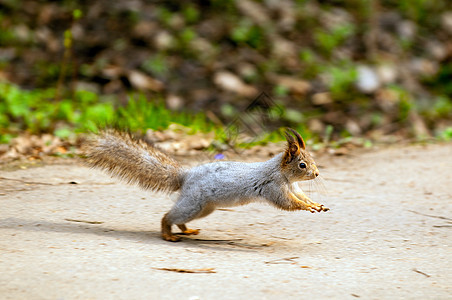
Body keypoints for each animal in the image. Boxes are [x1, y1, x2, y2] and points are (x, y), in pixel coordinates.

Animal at [84, 127, 328, 240]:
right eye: (303, 165)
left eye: (313, 160)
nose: (316, 174)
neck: (282, 173)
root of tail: (186, 175)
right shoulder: (273, 187)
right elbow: (289, 203)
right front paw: (307, 207)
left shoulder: (293, 187)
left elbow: (302, 197)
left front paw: (316, 204)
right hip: (193, 203)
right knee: (168, 216)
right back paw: (168, 233)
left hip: (204, 209)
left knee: (181, 219)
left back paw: (188, 230)